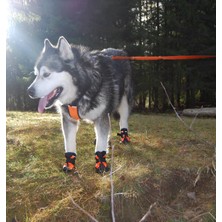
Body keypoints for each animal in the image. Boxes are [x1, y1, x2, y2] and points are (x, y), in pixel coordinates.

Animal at [27, 36, 133, 173]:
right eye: (36, 75)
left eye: (46, 74)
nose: (29, 91)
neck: (81, 92)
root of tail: (120, 50)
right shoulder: (68, 120)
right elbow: (69, 143)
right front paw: (70, 163)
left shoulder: (101, 117)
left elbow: (100, 144)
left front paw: (101, 162)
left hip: (124, 102)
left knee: (123, 120)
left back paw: (124, 137)